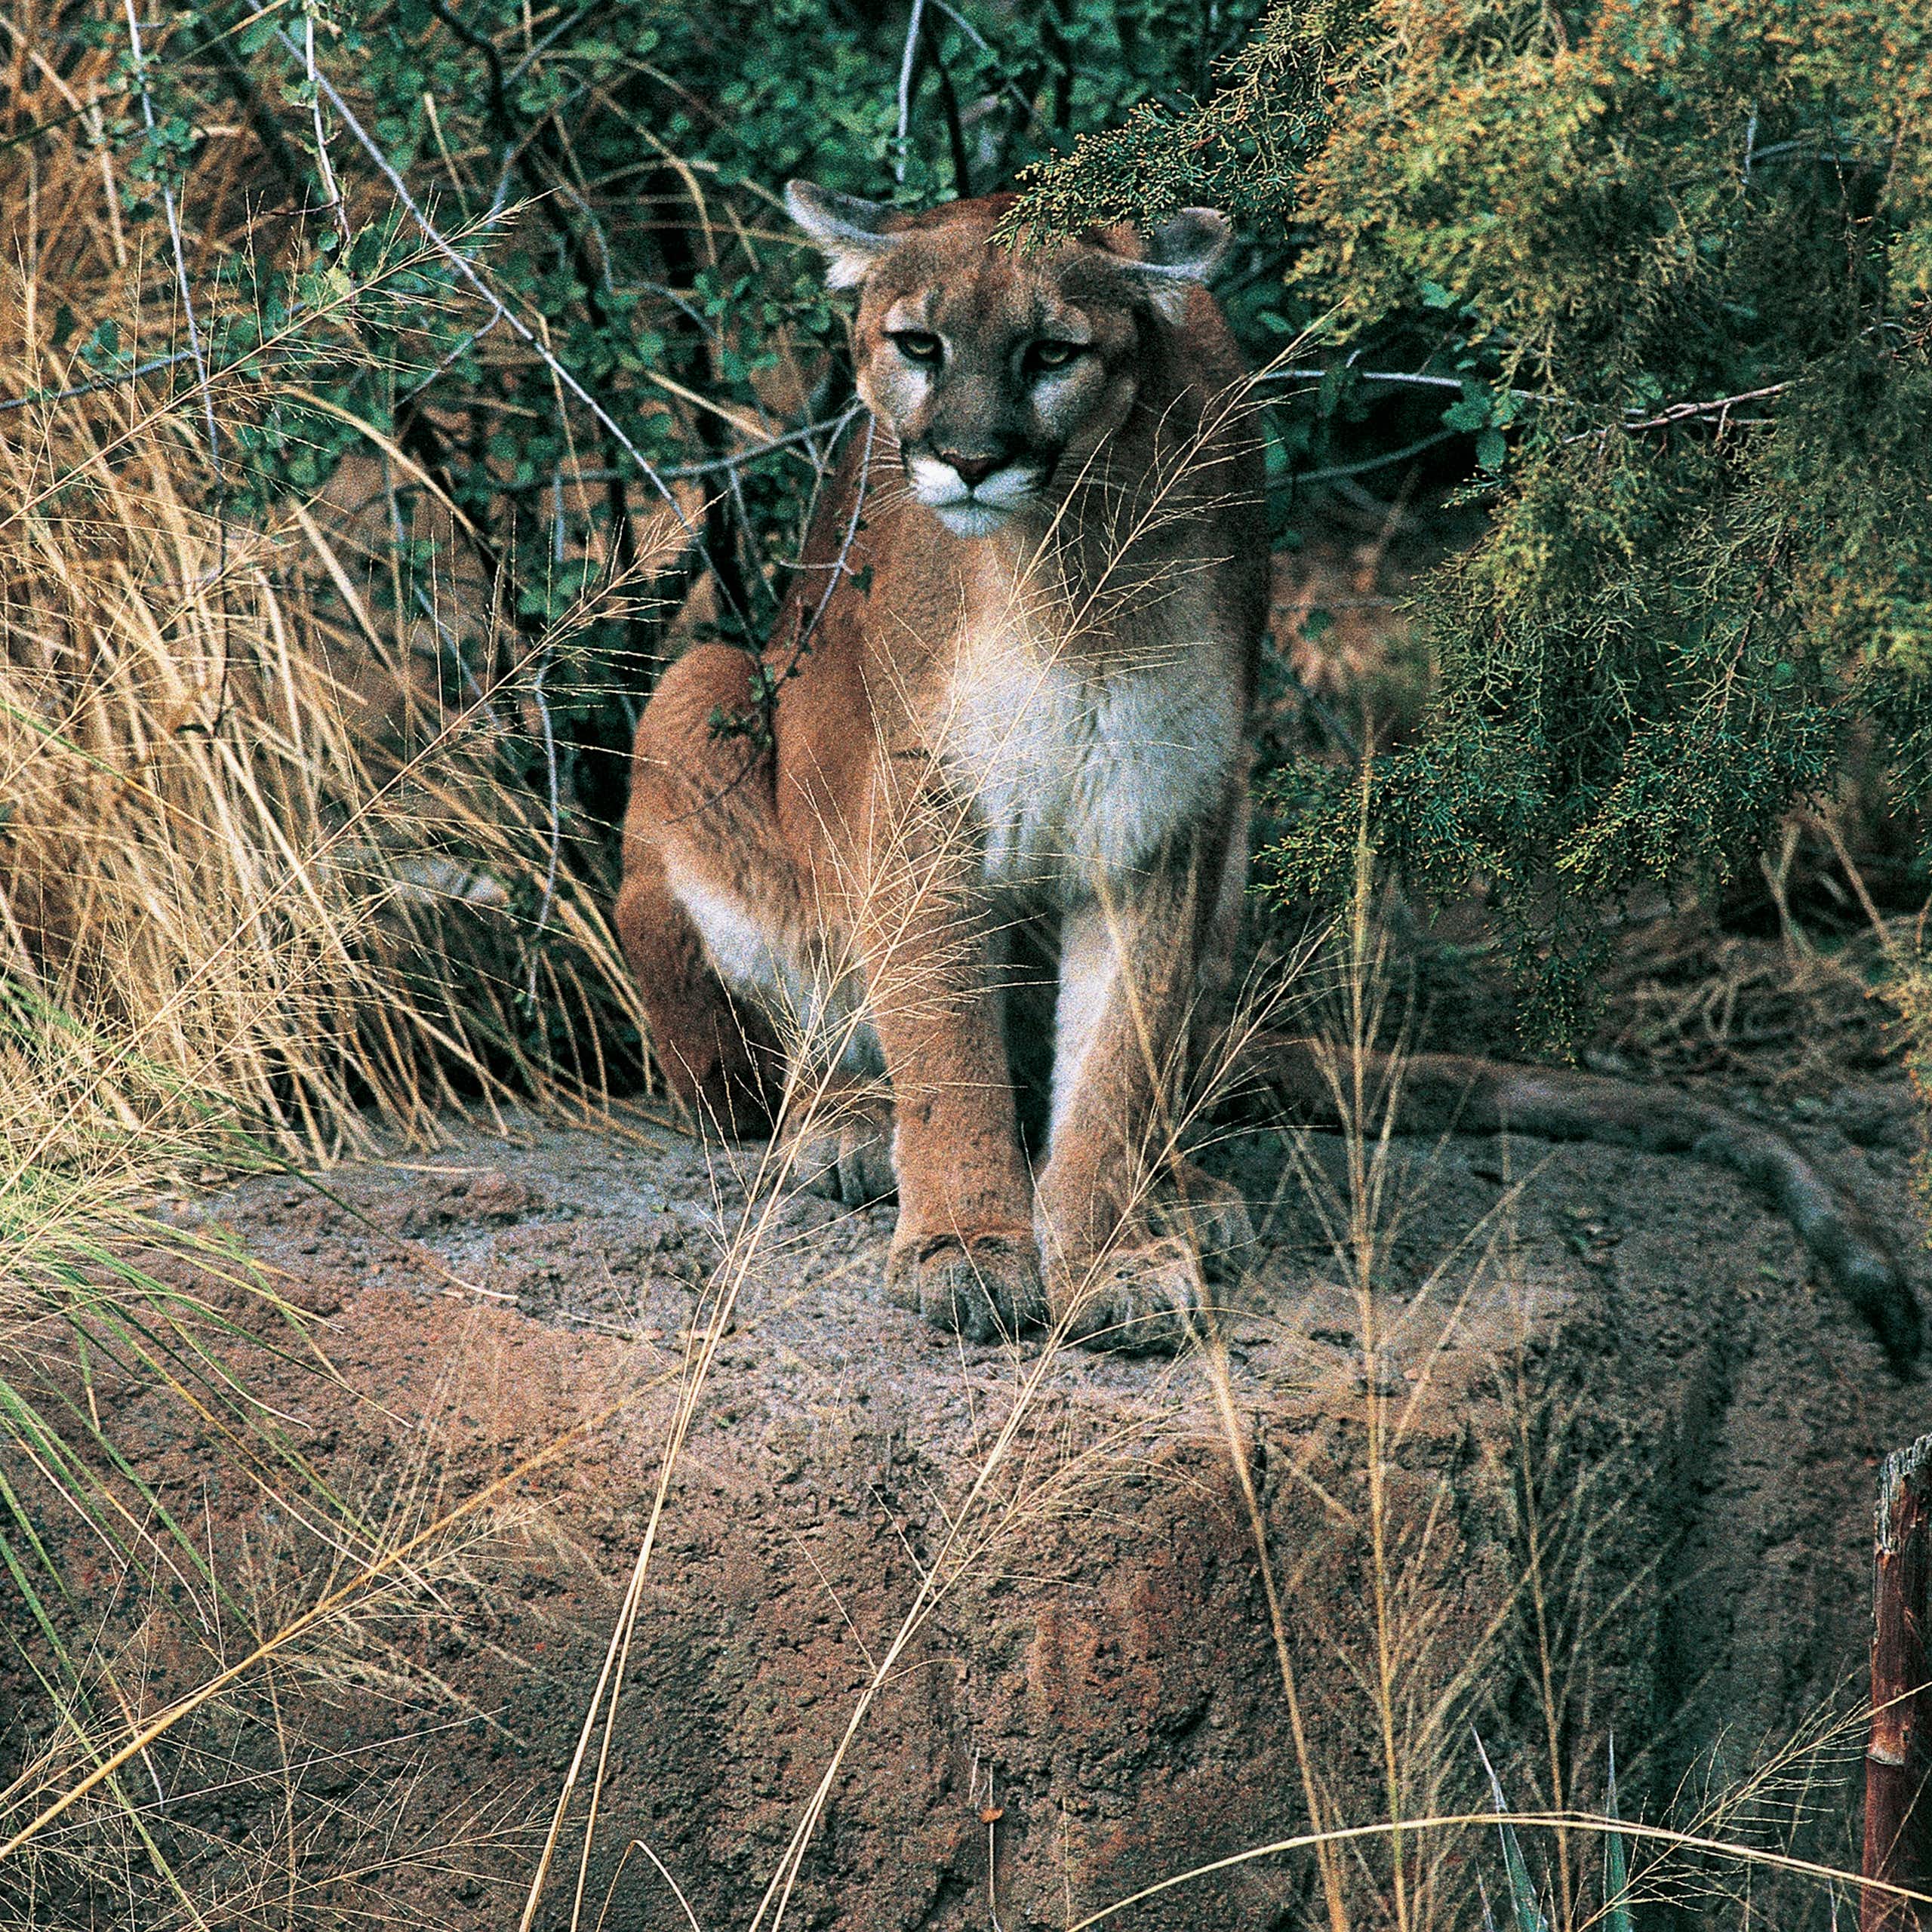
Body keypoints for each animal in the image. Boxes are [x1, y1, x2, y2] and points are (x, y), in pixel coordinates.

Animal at [614, 184, 1919, 1364]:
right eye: (918, 344)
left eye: (1051, 352)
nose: (971, 462)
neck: (1065, 566)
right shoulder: (927, 804)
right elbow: (949, 1049)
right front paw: (971, 1251)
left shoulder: (1160, 808)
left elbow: (1118, 1061)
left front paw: (1112, 1256)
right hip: (700, 690)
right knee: (786, 1036)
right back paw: (843, 1128)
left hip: (1235, 819)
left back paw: (1187, 1195)